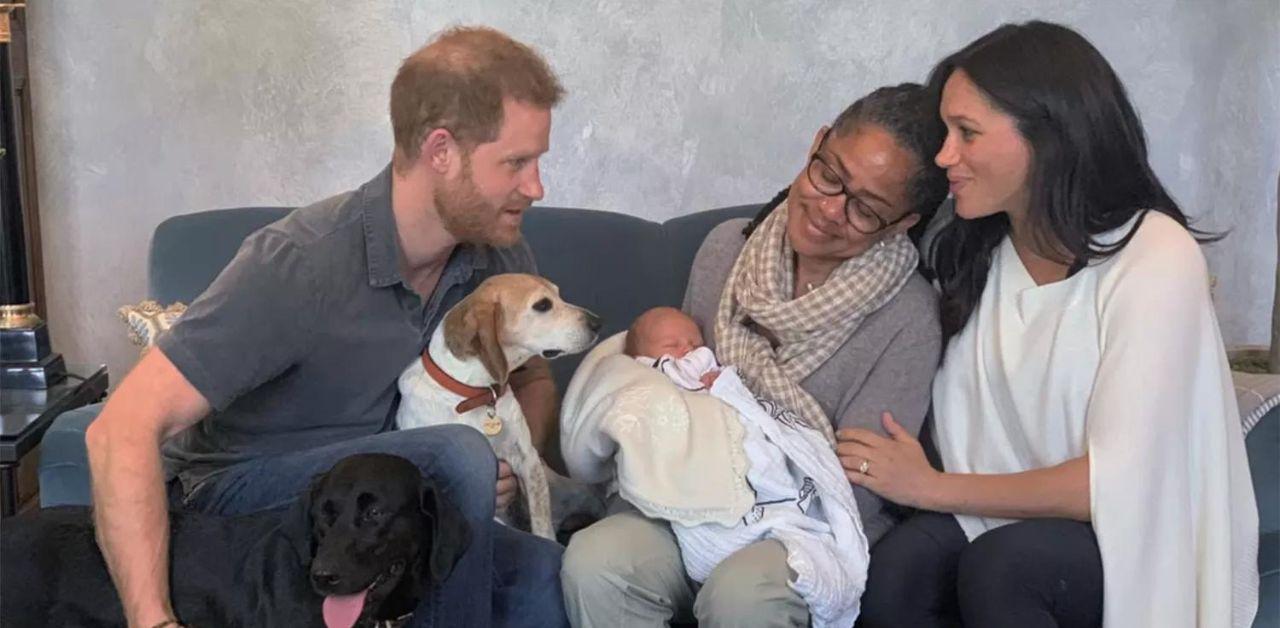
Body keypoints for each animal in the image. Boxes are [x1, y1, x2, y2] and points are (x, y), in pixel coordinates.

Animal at [394, 274, 599, 539]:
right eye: (542, 305)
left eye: (558, 294)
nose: (598, 323)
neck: (478, 395)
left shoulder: (528, 460)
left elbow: (542, 526)